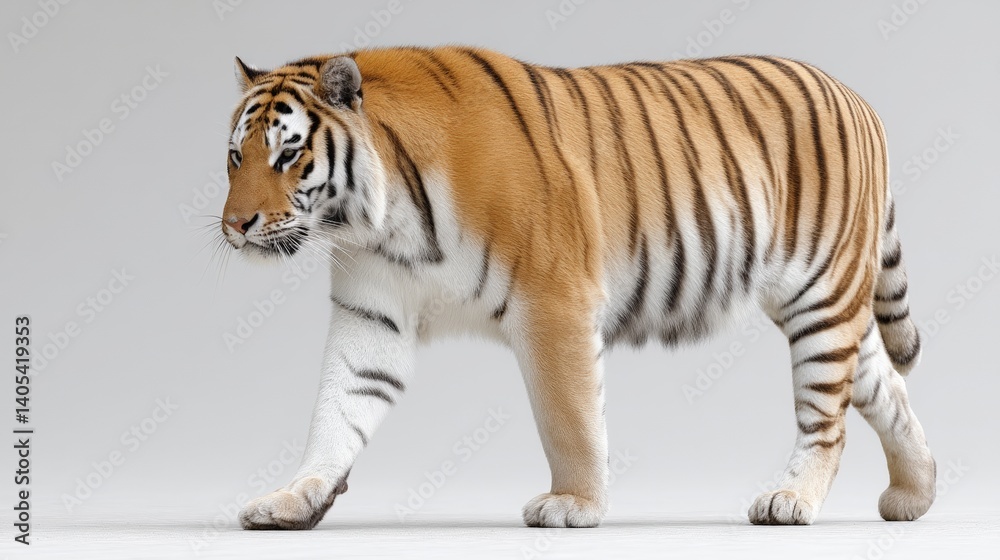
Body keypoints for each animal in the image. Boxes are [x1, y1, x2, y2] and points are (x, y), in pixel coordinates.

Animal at [220, 46, 935, 530]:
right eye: (235, 157)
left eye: (288, 154)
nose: (234, 226)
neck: (380, 218)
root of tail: (857, 98)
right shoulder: (372, 314)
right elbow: (338, 409)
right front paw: (295, 497)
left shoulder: (553, 300)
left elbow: (569, 418)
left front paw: (574, 504)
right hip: (823, 301)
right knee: (886, 384)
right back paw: (916, 493)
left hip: (821, 294)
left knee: (827, 417)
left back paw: (791, 499)